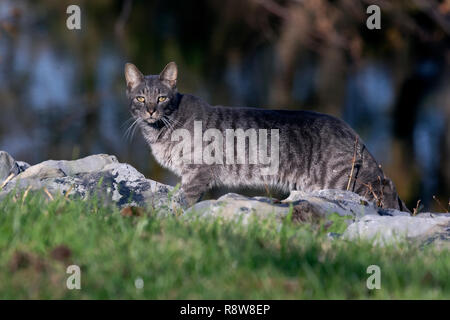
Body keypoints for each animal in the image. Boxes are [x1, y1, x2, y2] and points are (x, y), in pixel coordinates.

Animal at [125, 62, 410, 212]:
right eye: (140, 98)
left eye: (162, 98)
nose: (150, 109)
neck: (160, 130)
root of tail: (350, 130)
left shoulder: (197, 173)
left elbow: (183, 200)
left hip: (343, 180)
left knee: (384, 188)